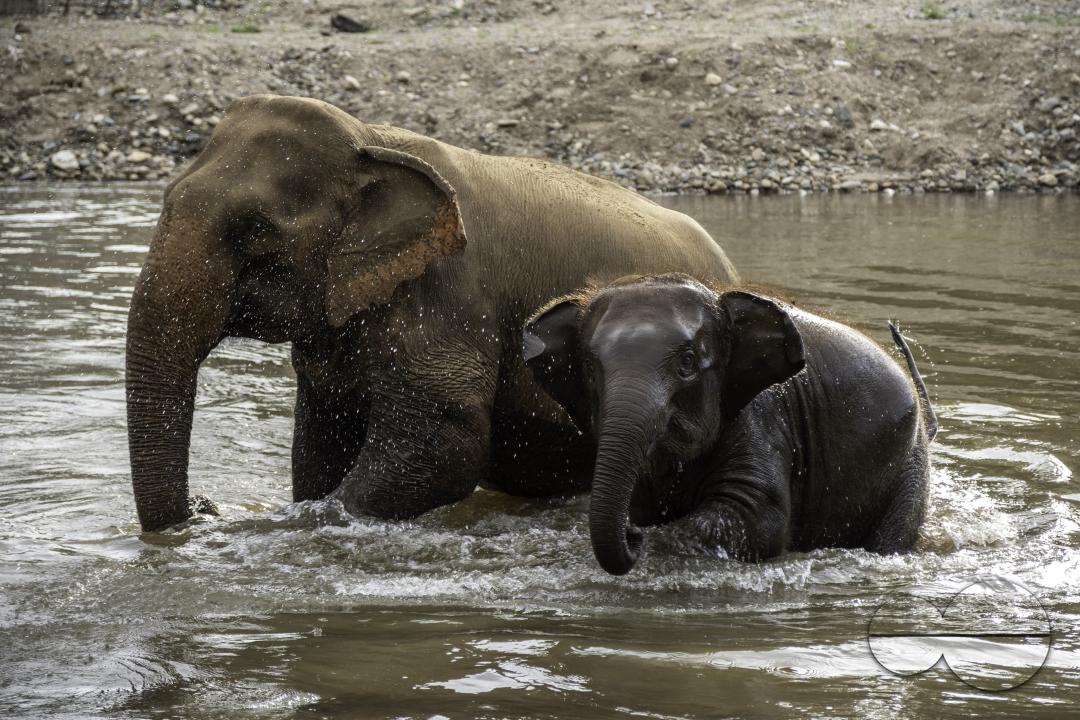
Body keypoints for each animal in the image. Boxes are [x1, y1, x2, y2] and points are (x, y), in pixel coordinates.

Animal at [126, 94, 739, 532]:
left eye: (254, 231)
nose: (203, 506)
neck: (372, 139)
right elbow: (322, 443)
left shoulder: (451, 293)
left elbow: (444, 442)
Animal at [522, 274, 937, 575]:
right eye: (590, 368)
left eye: (687, 363)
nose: (631, 534)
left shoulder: (762, 419)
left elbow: (757, 518)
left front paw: (651, 541)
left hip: (908, 471)